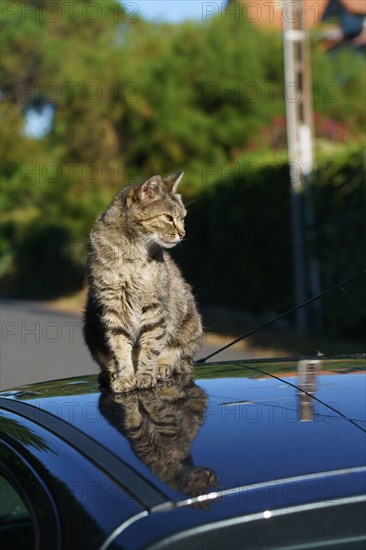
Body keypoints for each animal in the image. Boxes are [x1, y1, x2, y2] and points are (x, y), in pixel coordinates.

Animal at [83, 171, 203, 392]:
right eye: (168, 217)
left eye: (182, 218)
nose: (183, 233)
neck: (133, 251)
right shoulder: (112, 305)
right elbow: (119, 348)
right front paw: (125, 377)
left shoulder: (154, 306)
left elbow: (150, 347)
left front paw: (145, 375)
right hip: (89, 328)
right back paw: (109, 374)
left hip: (191, 324)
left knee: (180, 356)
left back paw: (163, 366)